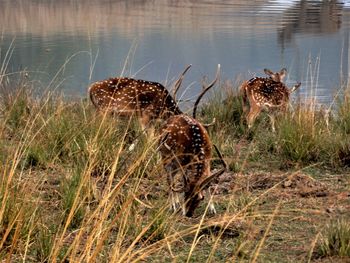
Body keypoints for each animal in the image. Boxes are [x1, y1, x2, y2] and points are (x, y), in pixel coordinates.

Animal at [157, 65, 226, 218]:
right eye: (186, 196)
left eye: (200, 198)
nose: (188, 213)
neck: (197, 145)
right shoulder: (184, 160)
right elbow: (182, 182)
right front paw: (180, 207)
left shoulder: (208, 159)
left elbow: (208, 183)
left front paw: (212, 208)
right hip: (165, 156)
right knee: (169, 178)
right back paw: (173, 205)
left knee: (173, 177)